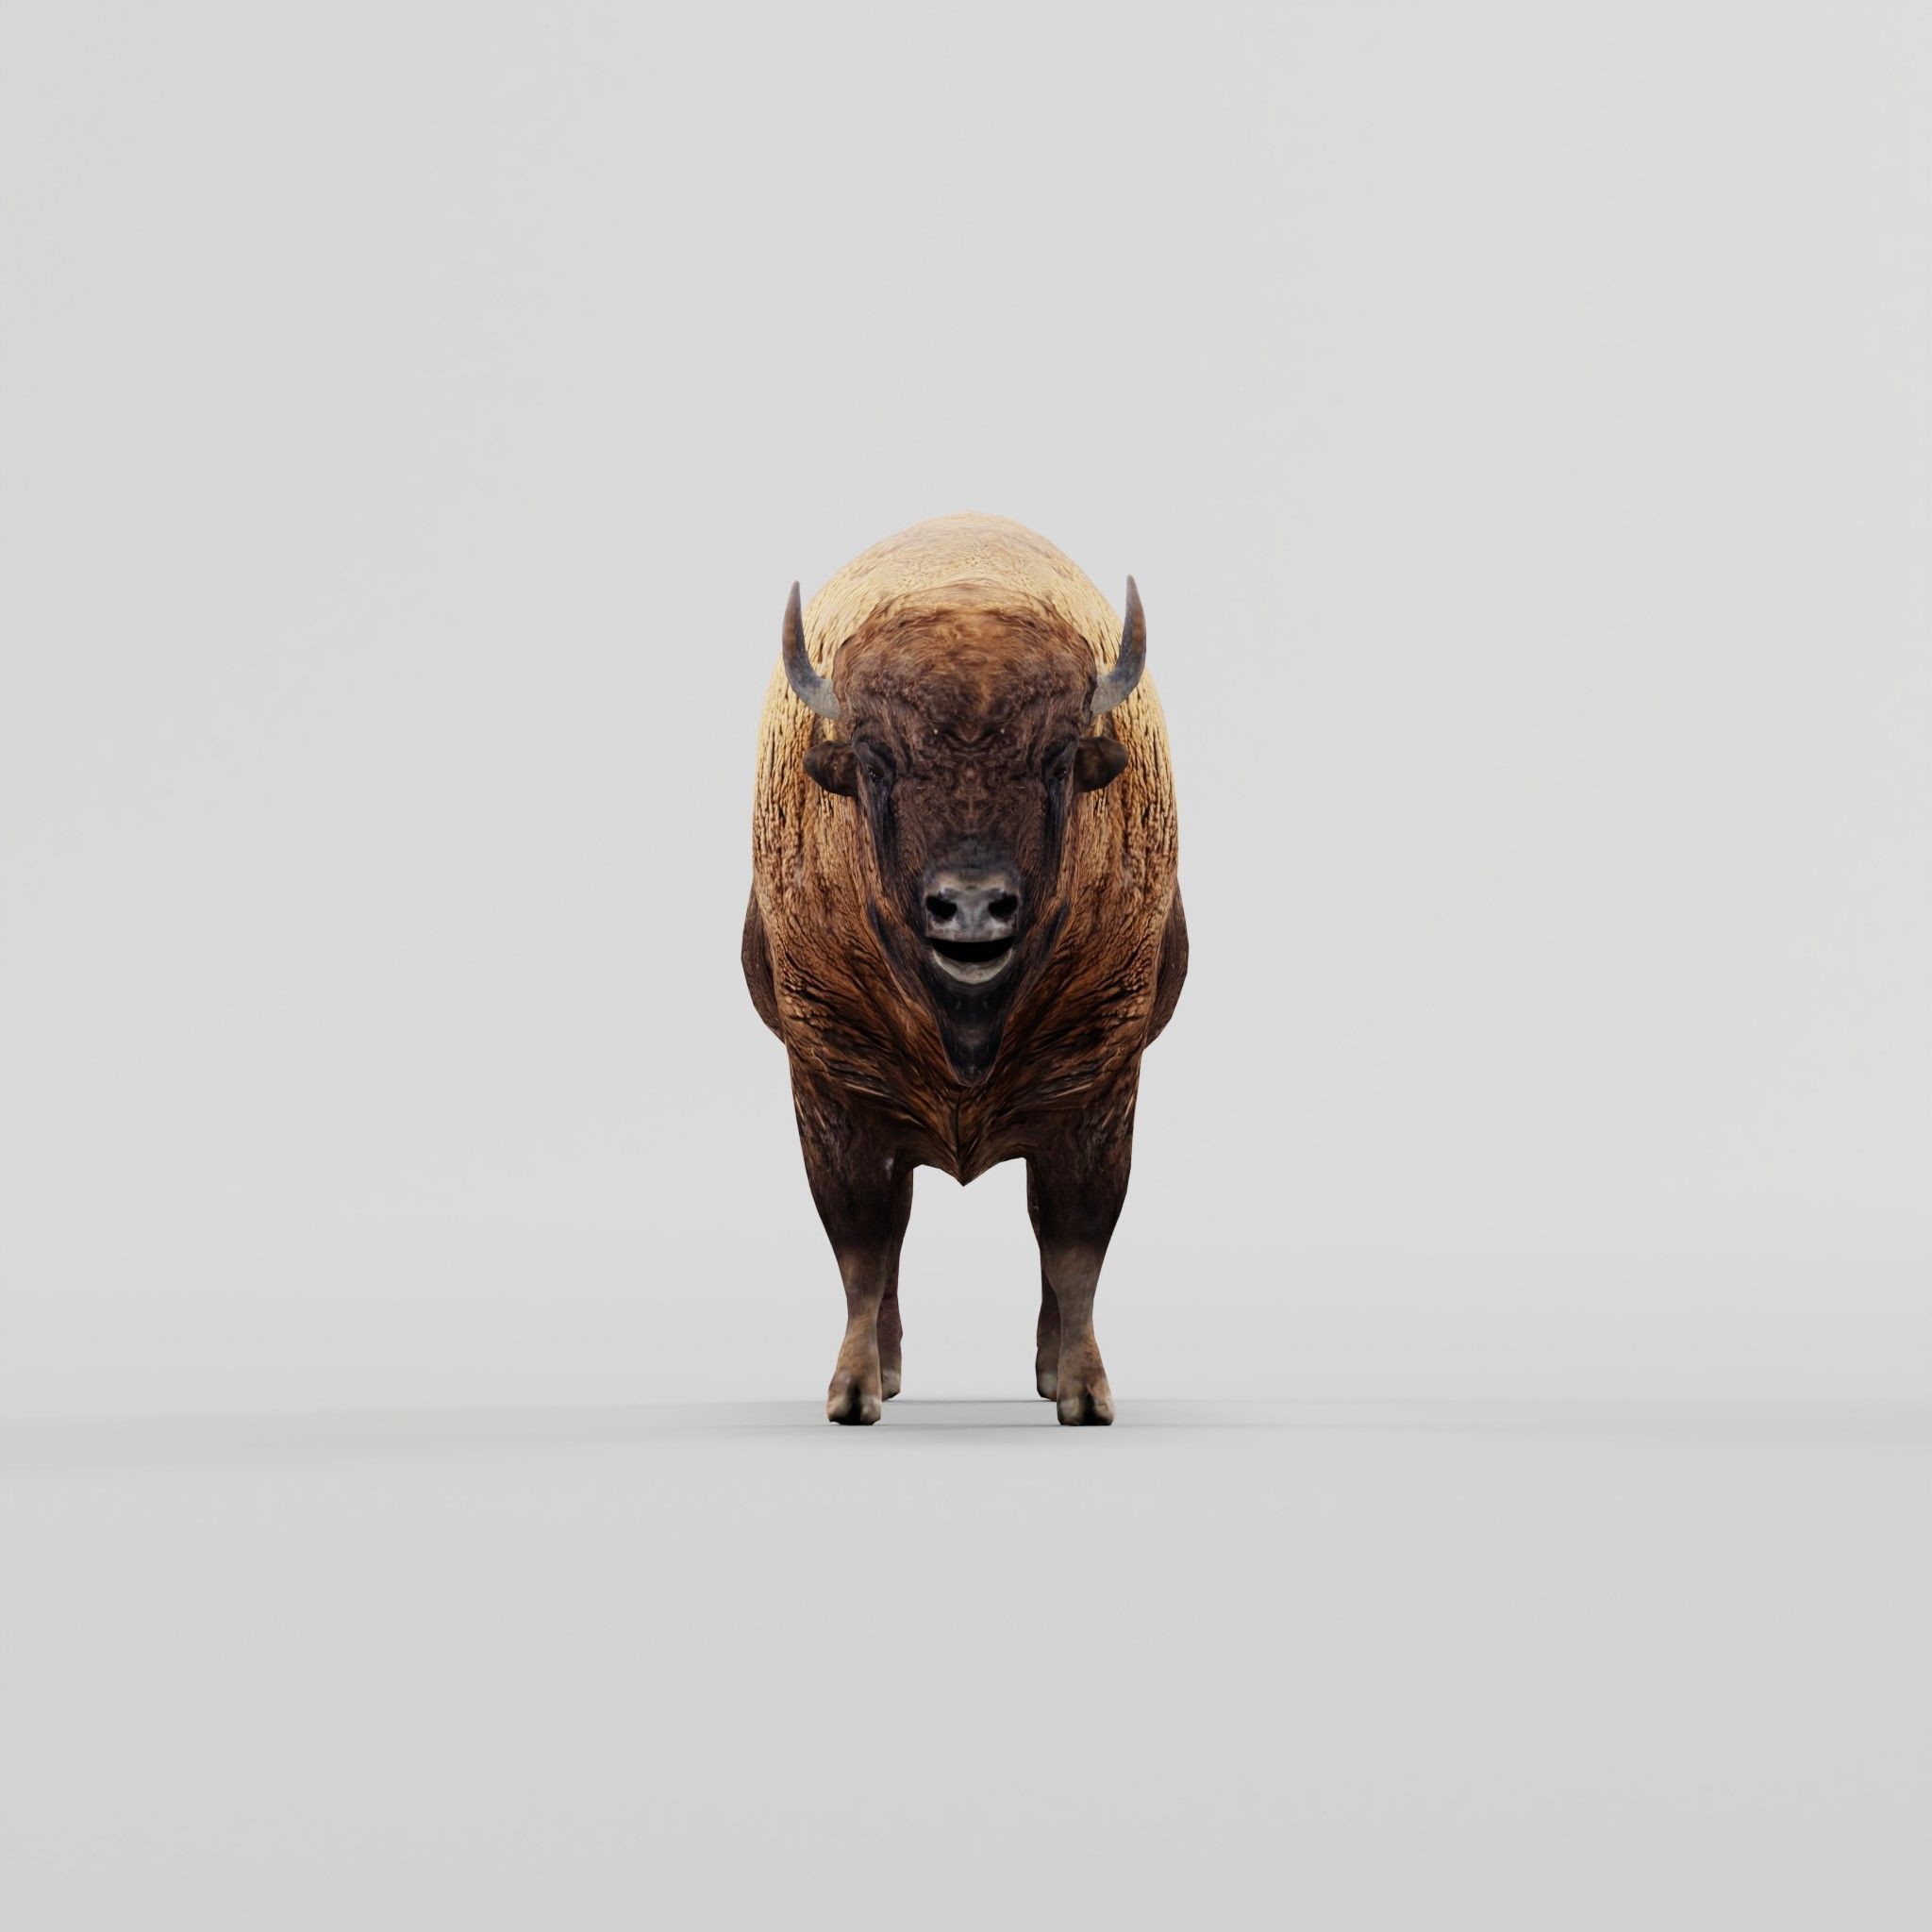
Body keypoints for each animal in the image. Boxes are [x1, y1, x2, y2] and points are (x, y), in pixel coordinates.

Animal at [743, 514, 1186, 1424]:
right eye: (875, 761)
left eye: (1057, 759)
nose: (973, 906)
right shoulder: (833, 1087)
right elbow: (863, 1244)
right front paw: (853, 1394)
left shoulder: (1099, 1087)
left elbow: (1075, 1245)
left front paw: (1085, 1395)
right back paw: (891, 1369)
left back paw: (1047, 1370)